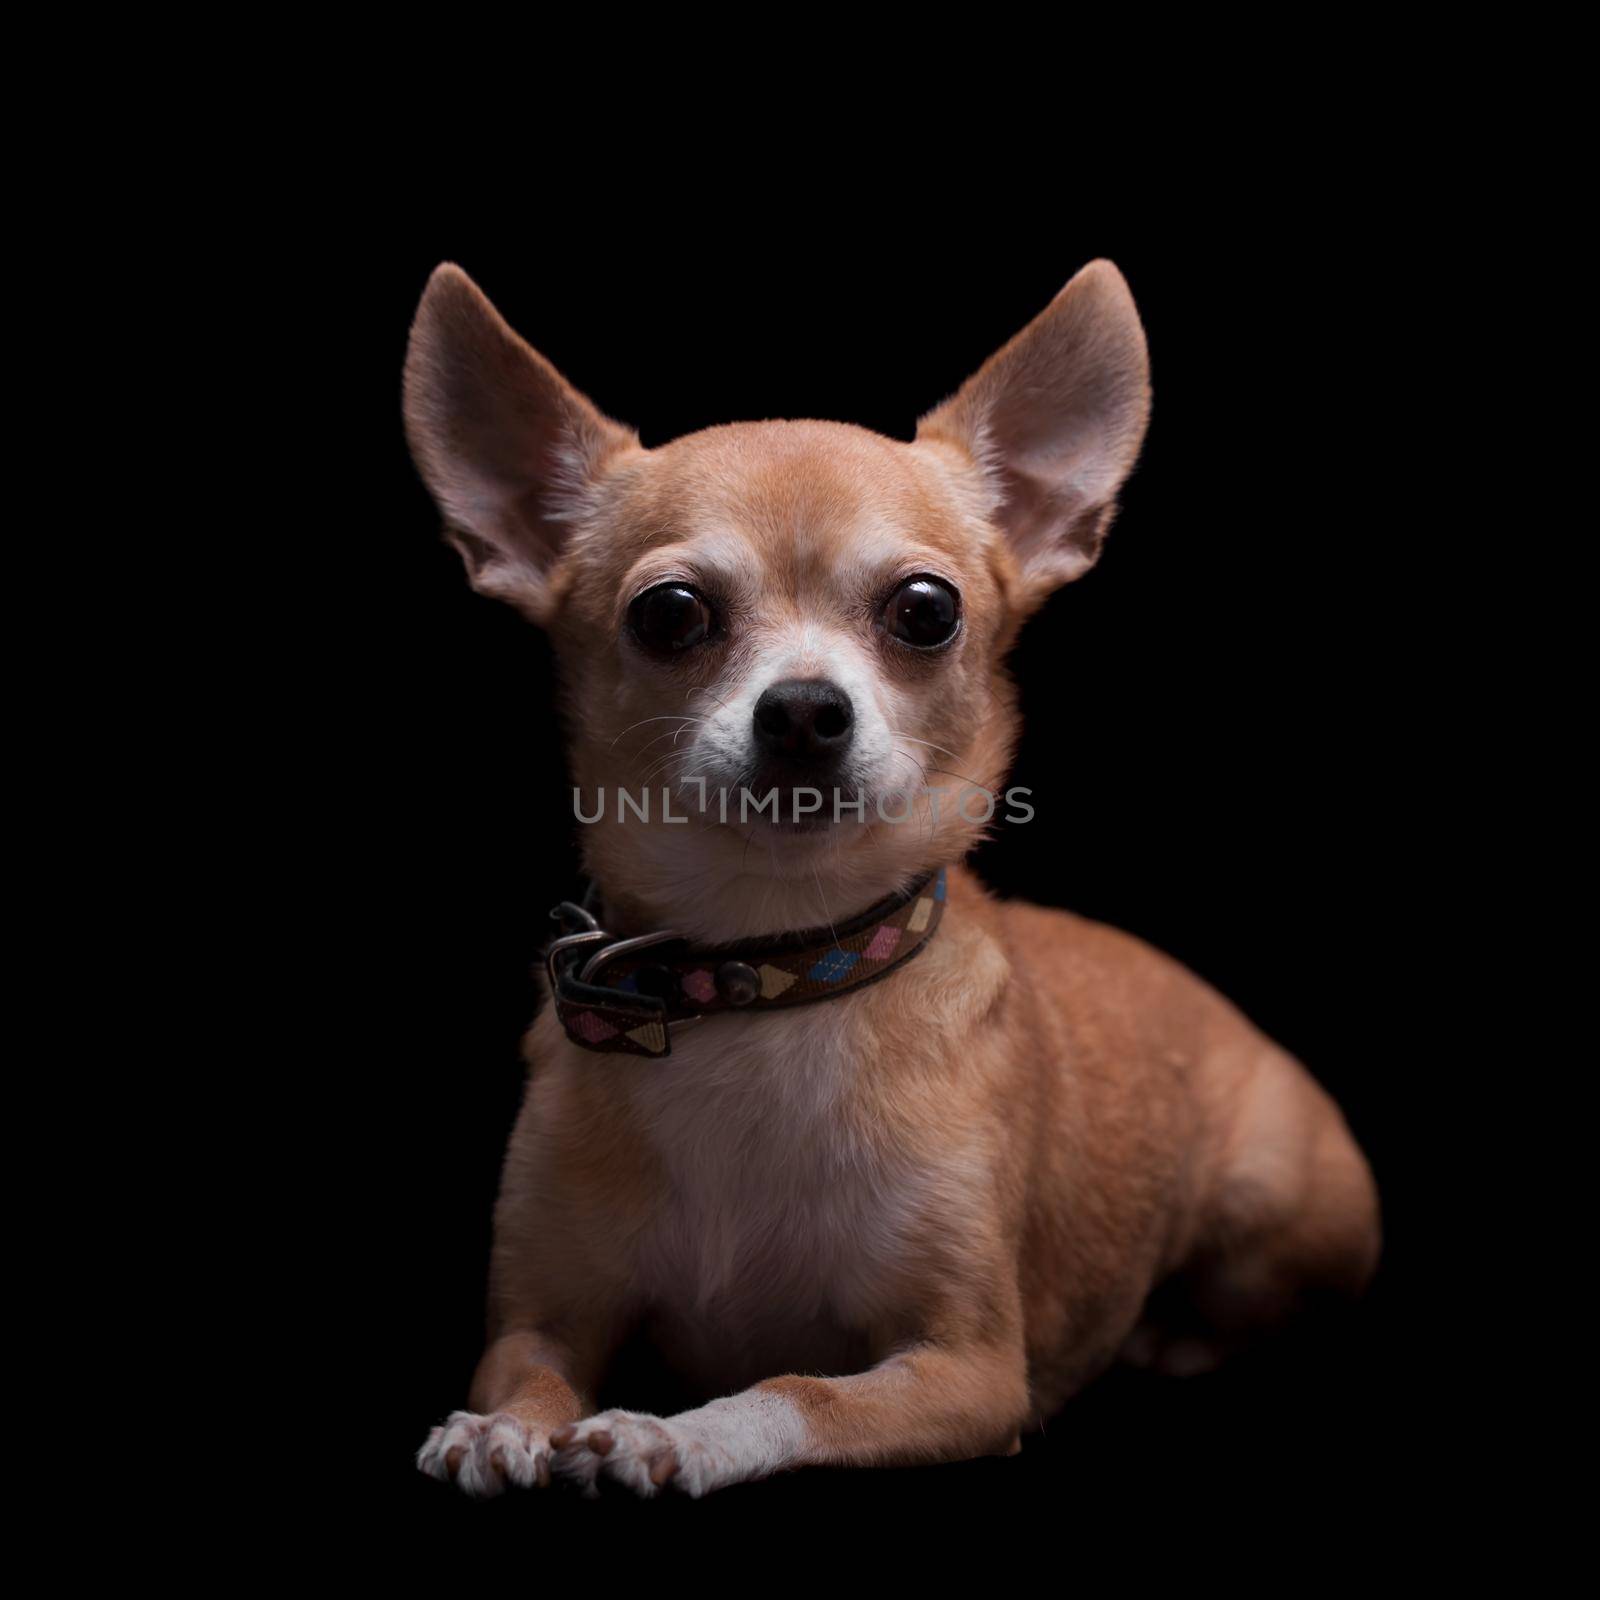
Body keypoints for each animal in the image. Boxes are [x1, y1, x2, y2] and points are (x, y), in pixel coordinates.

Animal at [396, 262, 1376, 1497]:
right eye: (669, 614)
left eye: (924, 609)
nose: (805, 709)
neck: (771, 975)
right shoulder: (540, 1315)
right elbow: (526, 1372)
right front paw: (505, 1430)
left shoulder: (971, 1371)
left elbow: (798, 1388)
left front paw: (675, 1431)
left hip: (1288, 1206)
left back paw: (1177, 1333)